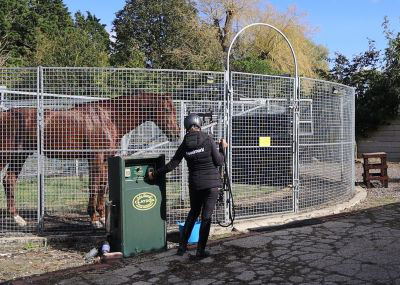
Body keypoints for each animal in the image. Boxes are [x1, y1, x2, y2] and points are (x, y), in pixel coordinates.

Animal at [0, 92, 180, 227]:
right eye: (166, 109)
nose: (177, 134)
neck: (108, 118)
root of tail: (5, 114)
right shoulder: (95, 158)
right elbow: (93, 186)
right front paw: (94, 219)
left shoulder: (106, 159)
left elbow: (103, 186)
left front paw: (102, 216)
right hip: (7, 154)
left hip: (20, 155)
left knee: (9, 180)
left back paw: (17, 218)